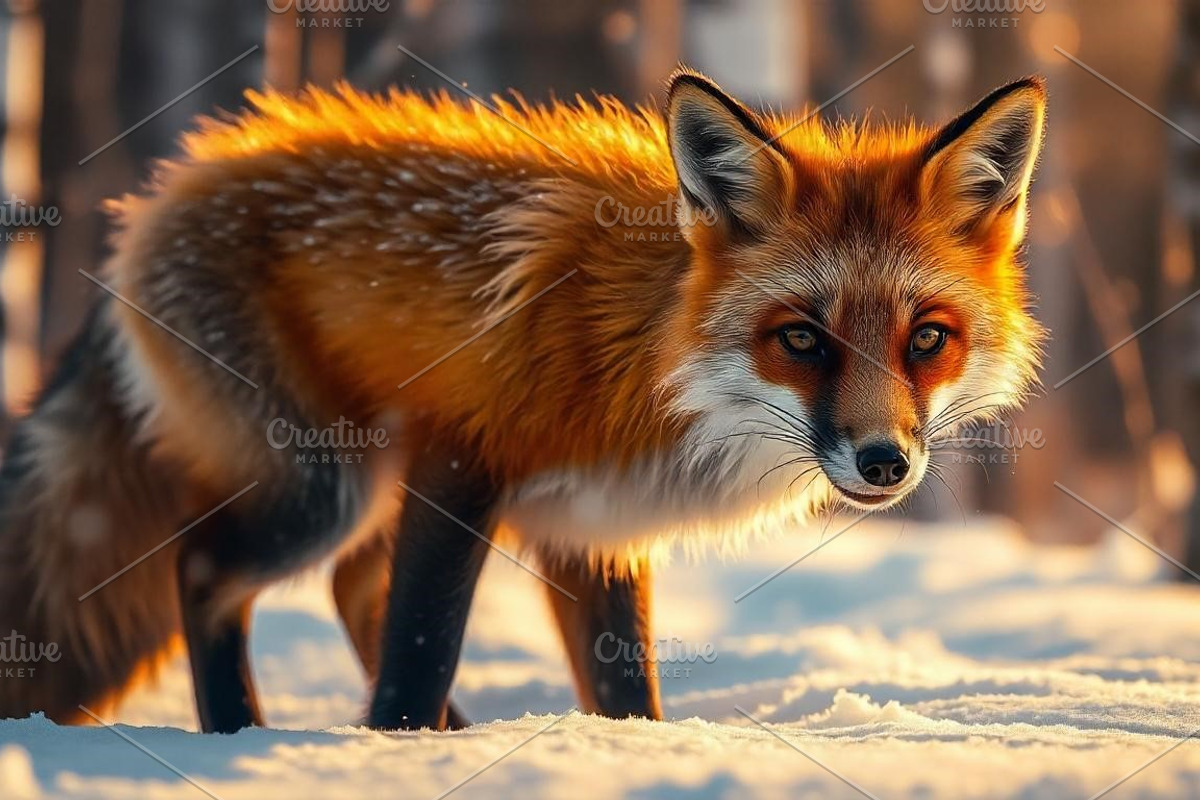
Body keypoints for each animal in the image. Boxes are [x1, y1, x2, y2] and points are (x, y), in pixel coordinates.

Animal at [0, 68, 1046, 733]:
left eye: (926, 338)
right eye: (801, 339)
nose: (884, 461)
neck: (654, 359)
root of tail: (173, 180)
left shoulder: (598, 525)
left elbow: (624, 697)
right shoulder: (463, 458)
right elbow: (419, 653)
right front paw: (399, 751)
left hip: (372, 493)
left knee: (347, 585)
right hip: (325, 486)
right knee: (206, 567)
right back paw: (243, 739)